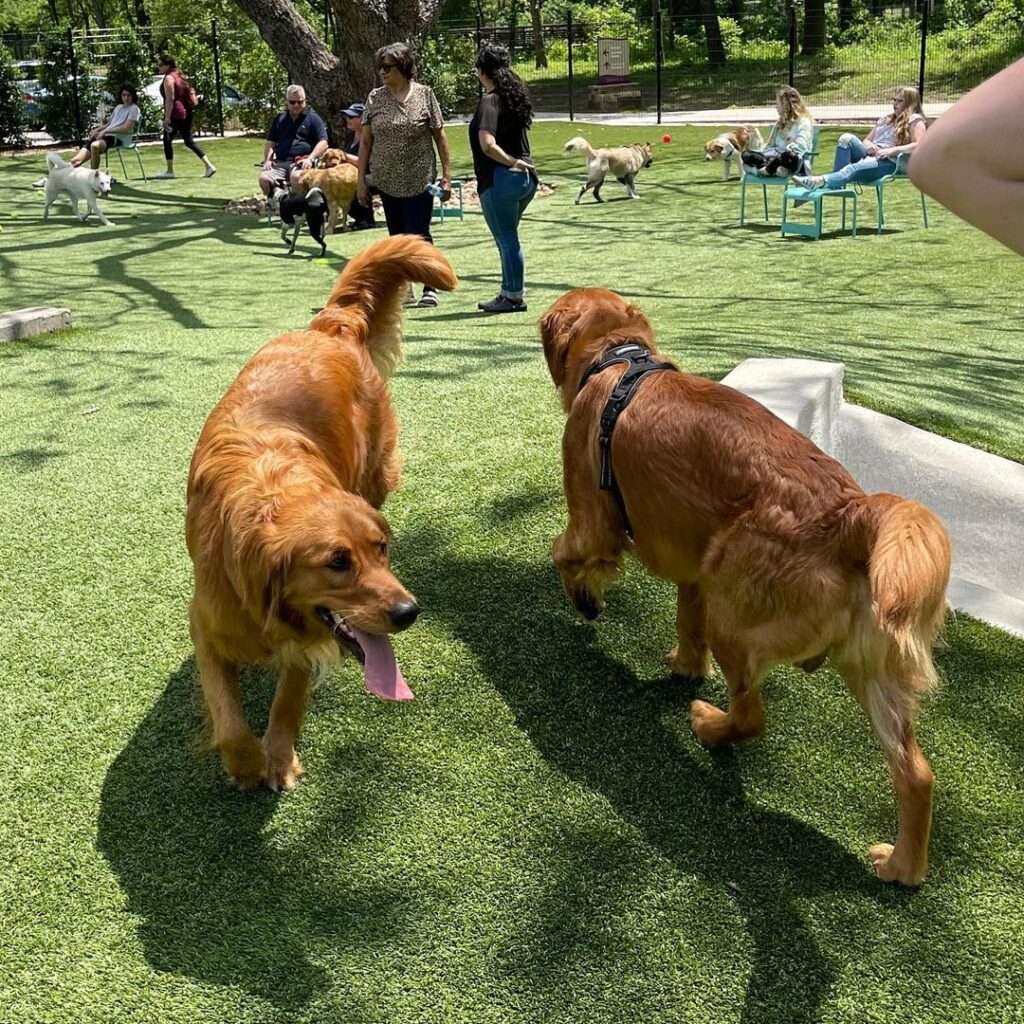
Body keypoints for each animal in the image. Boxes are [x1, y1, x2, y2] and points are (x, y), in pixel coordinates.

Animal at [186, 237, 458, 790]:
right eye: (337, 562)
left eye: (382, 549)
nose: (409, 612)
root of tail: (328, 327)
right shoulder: (205, 622)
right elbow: (227, 718)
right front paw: (244, 763)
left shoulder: (308, 637)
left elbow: (289, 694)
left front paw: (278, 755)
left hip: (377, 474)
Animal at [540, 288, 946, 888]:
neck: (618, 356)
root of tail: (851, 513)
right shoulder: (693, 565)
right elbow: (685, 621)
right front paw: (684, 664)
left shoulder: (592, 515)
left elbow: (568, 552)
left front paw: (583, 595)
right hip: (871, 671)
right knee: (916, 773)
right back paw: (902, 866)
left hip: (733, 618)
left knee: (753, 716)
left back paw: (709, 726)